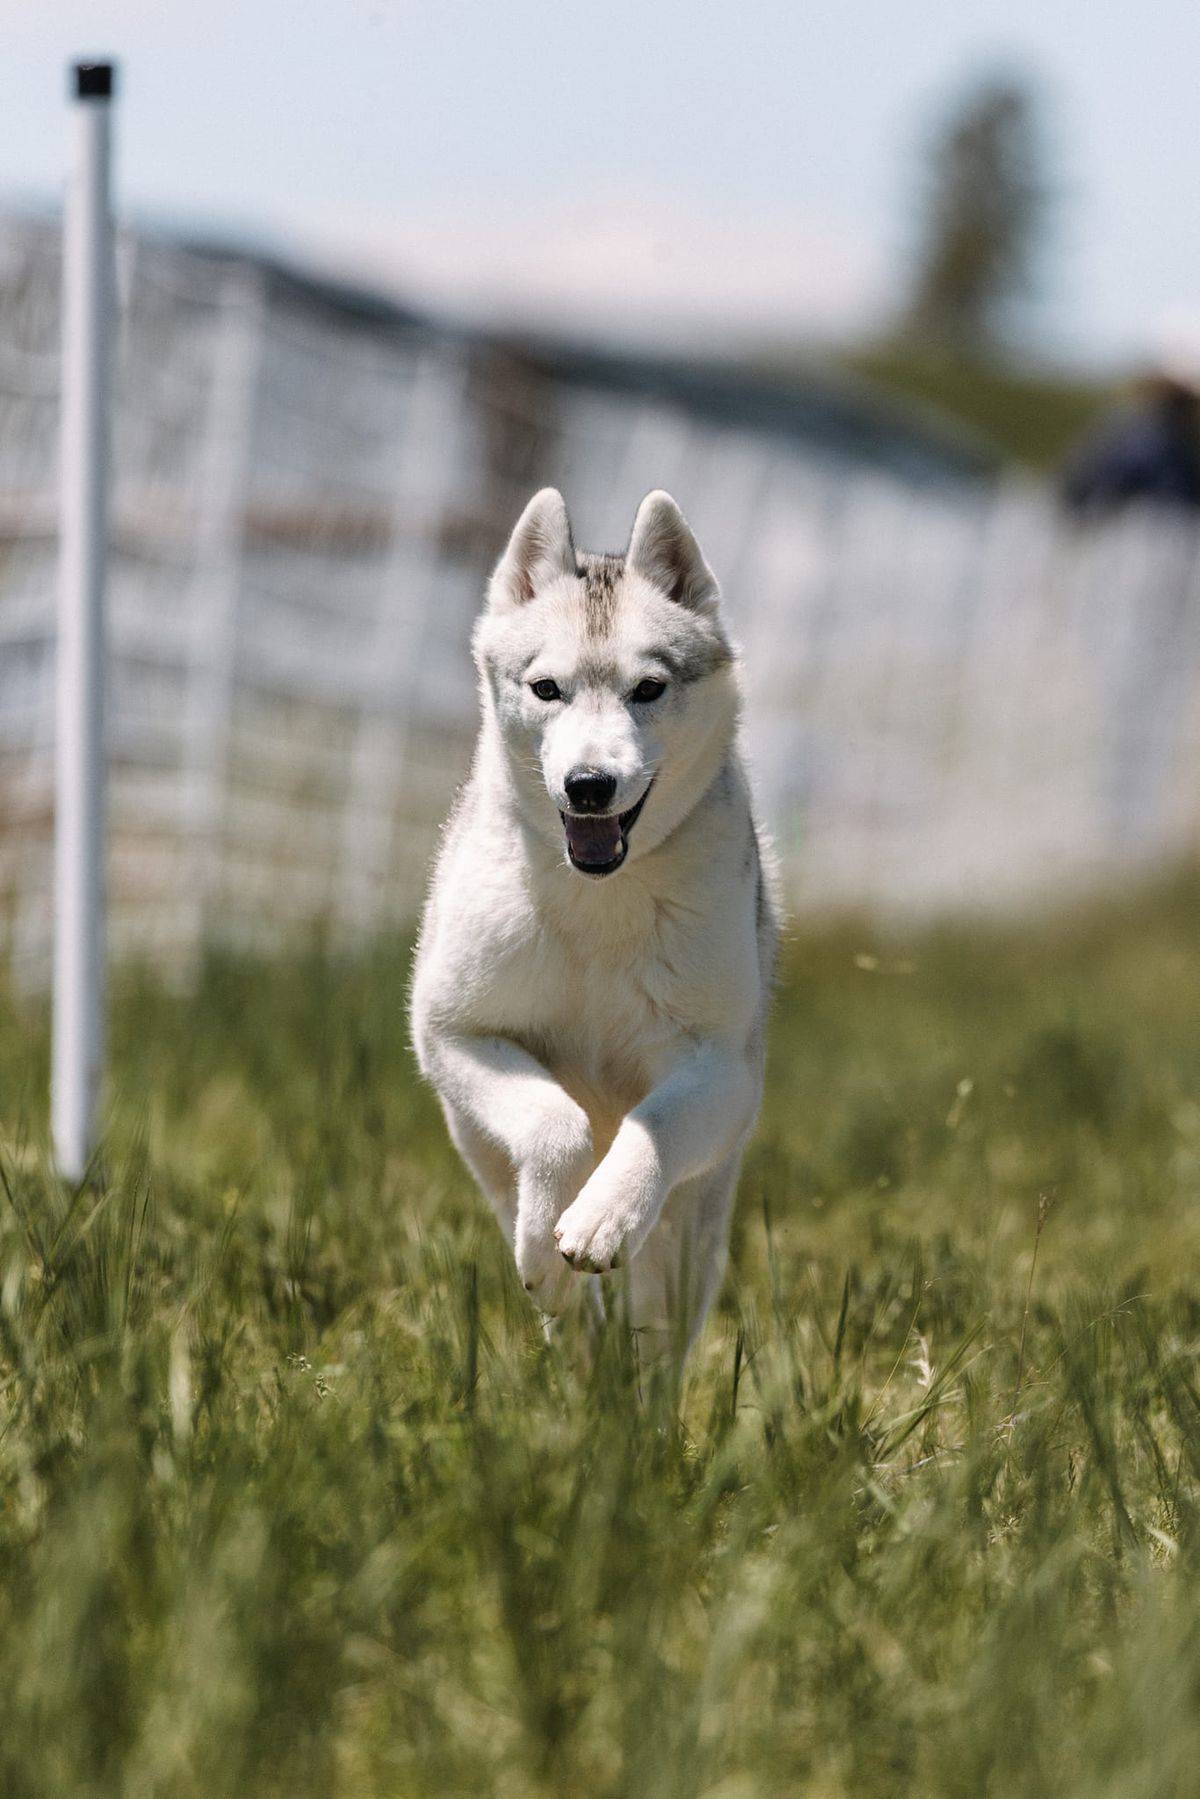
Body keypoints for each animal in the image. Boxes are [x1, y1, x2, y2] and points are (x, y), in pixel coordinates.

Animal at [408, 485, 773, 1352]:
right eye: (547, 689)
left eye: (648, 688)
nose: (589, 785)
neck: (598, 898)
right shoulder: (453, 1032)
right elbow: (555, 1123)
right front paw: (547, 1253)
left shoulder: (724, 1066)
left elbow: (656, 1120)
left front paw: (604, 1216)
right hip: (479, 1148)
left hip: (695, 1226)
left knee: (656, 1322)